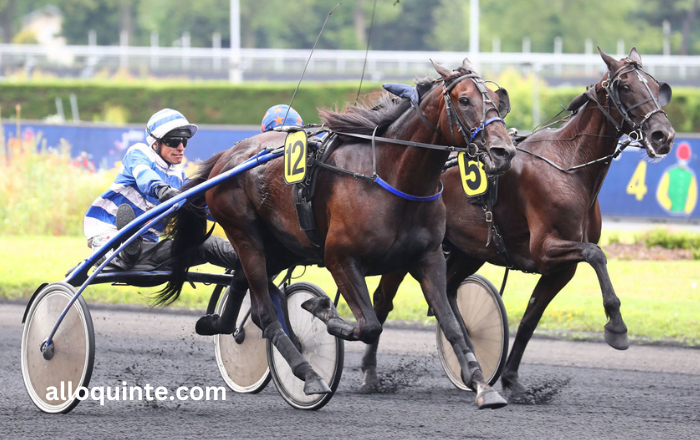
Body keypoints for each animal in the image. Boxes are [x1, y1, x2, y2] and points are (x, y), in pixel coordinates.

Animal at [161, 59, 516, 410]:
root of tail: (226, 157)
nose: (504, 152)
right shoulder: (340, 257)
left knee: (241, 281)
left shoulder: (427, 258)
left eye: (497, 101)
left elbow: (452, 324)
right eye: (464, 100)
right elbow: (369, 325)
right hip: (244, 232)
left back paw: (218, 324)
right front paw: (322, 310)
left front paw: (482, 385)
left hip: (282, 245)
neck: (391, 177)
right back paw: (308, 375)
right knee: (264, 312)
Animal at [364, 46, 676, 400]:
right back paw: (370, 374)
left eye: (656, 86)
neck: (569, 165)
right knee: (383, 300)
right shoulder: (545, 248)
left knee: (449, 291)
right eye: (625, 86)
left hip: (467, 251)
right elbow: (596, 254)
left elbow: (530, 319)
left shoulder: (561, 268)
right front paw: (617, 328)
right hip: (409, 250)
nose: (663, 135)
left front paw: (512, 379)